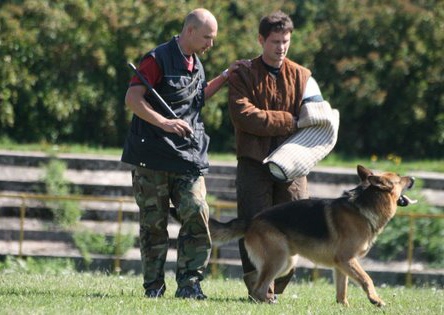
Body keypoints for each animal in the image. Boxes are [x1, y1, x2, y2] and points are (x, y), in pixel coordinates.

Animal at [209, 165, 416, 306]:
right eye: (400, 178)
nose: (413, 177)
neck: (362, 207)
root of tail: (251, 220)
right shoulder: (347, 259)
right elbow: (367, 279)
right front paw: (375, 299)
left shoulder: (341, 265)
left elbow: (342, 290)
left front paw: (343, 307)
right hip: (279, 260)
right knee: (260, 286)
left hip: (284, 262)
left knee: (254, 279)